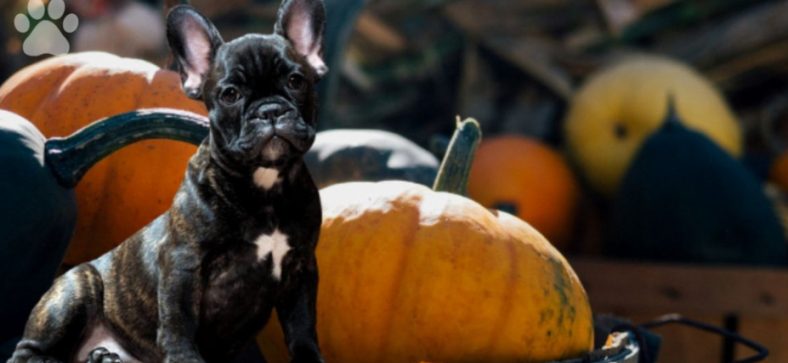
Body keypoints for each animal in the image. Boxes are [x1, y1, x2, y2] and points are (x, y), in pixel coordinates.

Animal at [7, 0, 328, 363]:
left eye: (296, 80)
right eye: (230, 94)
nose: (270, 110)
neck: (265, 187)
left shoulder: (302, 266)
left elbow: (302, 323)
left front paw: (309, 357)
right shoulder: (182, 261)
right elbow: (179, 318)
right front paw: (184, 358)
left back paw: (104, 356)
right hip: (73, 292)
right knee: (26, 351)